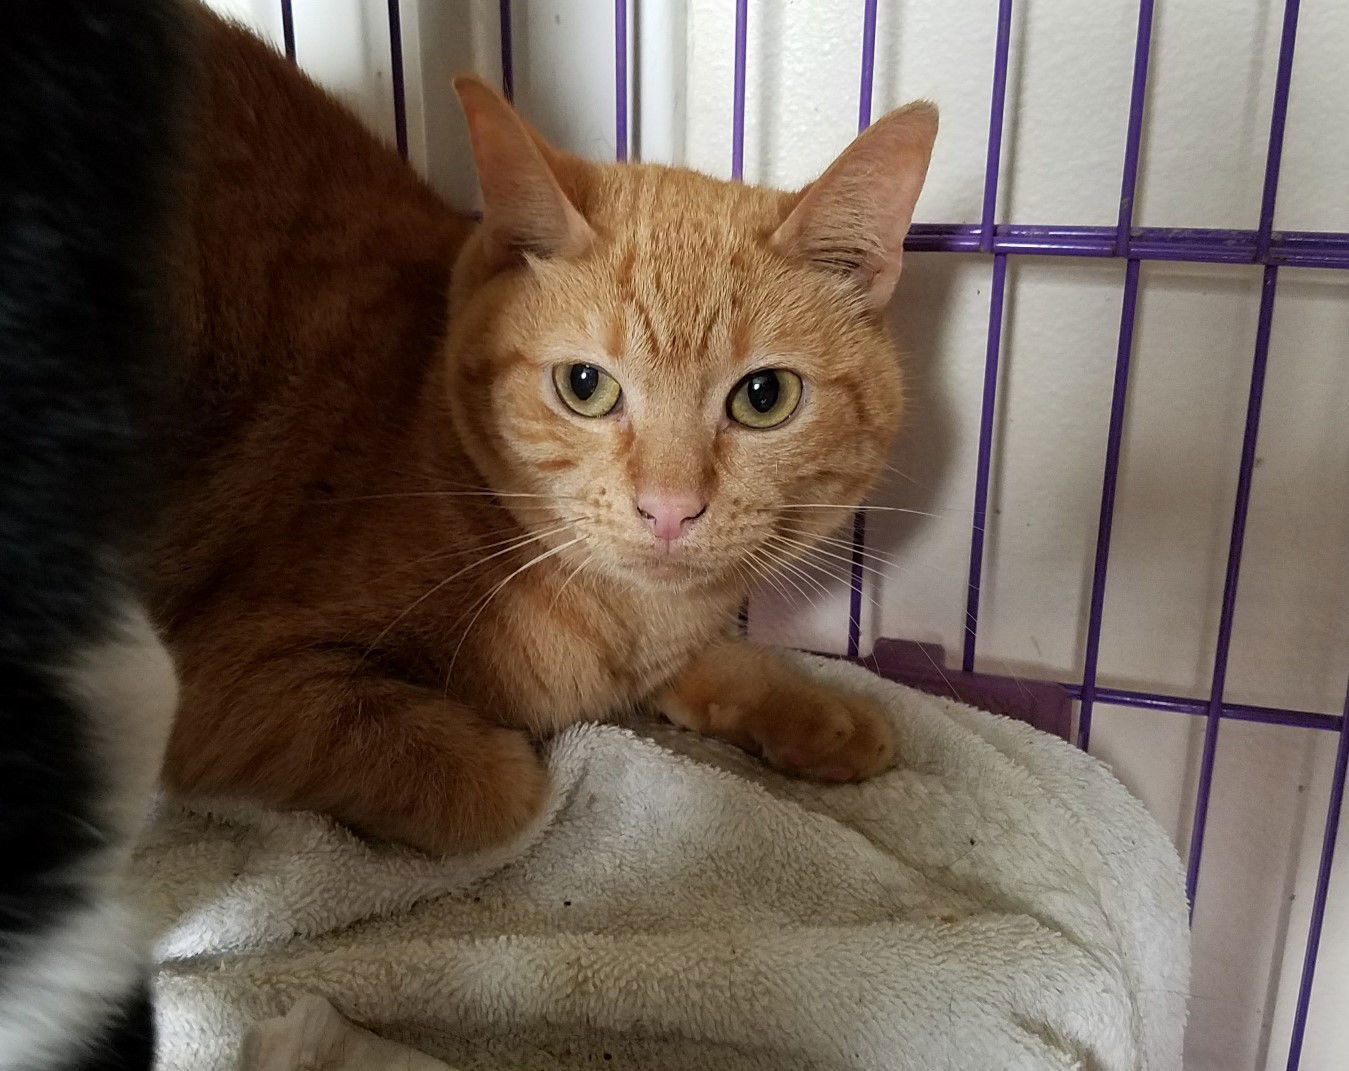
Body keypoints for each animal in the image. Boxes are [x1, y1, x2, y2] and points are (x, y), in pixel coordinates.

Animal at [155, 10, 938, 852]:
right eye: (584, 387)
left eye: (765, 397)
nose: (669, 509)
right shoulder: (227, 678)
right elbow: (501, 785)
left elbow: (706, 664)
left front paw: (814, 712)